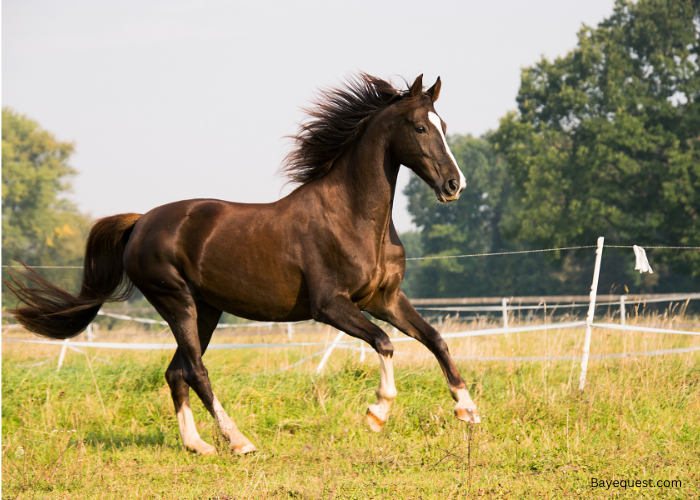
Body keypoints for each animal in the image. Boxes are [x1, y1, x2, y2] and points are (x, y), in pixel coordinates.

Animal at [6, 73, 482, 454]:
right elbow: (384, 343)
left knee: (175, 371)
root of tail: (141, 222)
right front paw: (377, 413)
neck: (353, 217)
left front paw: (468, 409)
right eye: (420, 127)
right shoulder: (331, 306)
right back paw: (239, 441)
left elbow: (435, 339)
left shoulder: (384, 299)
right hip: (176, 301)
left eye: (443, 126)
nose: (454, 185)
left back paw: (198, 445)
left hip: (206, 310)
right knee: (195, 370)